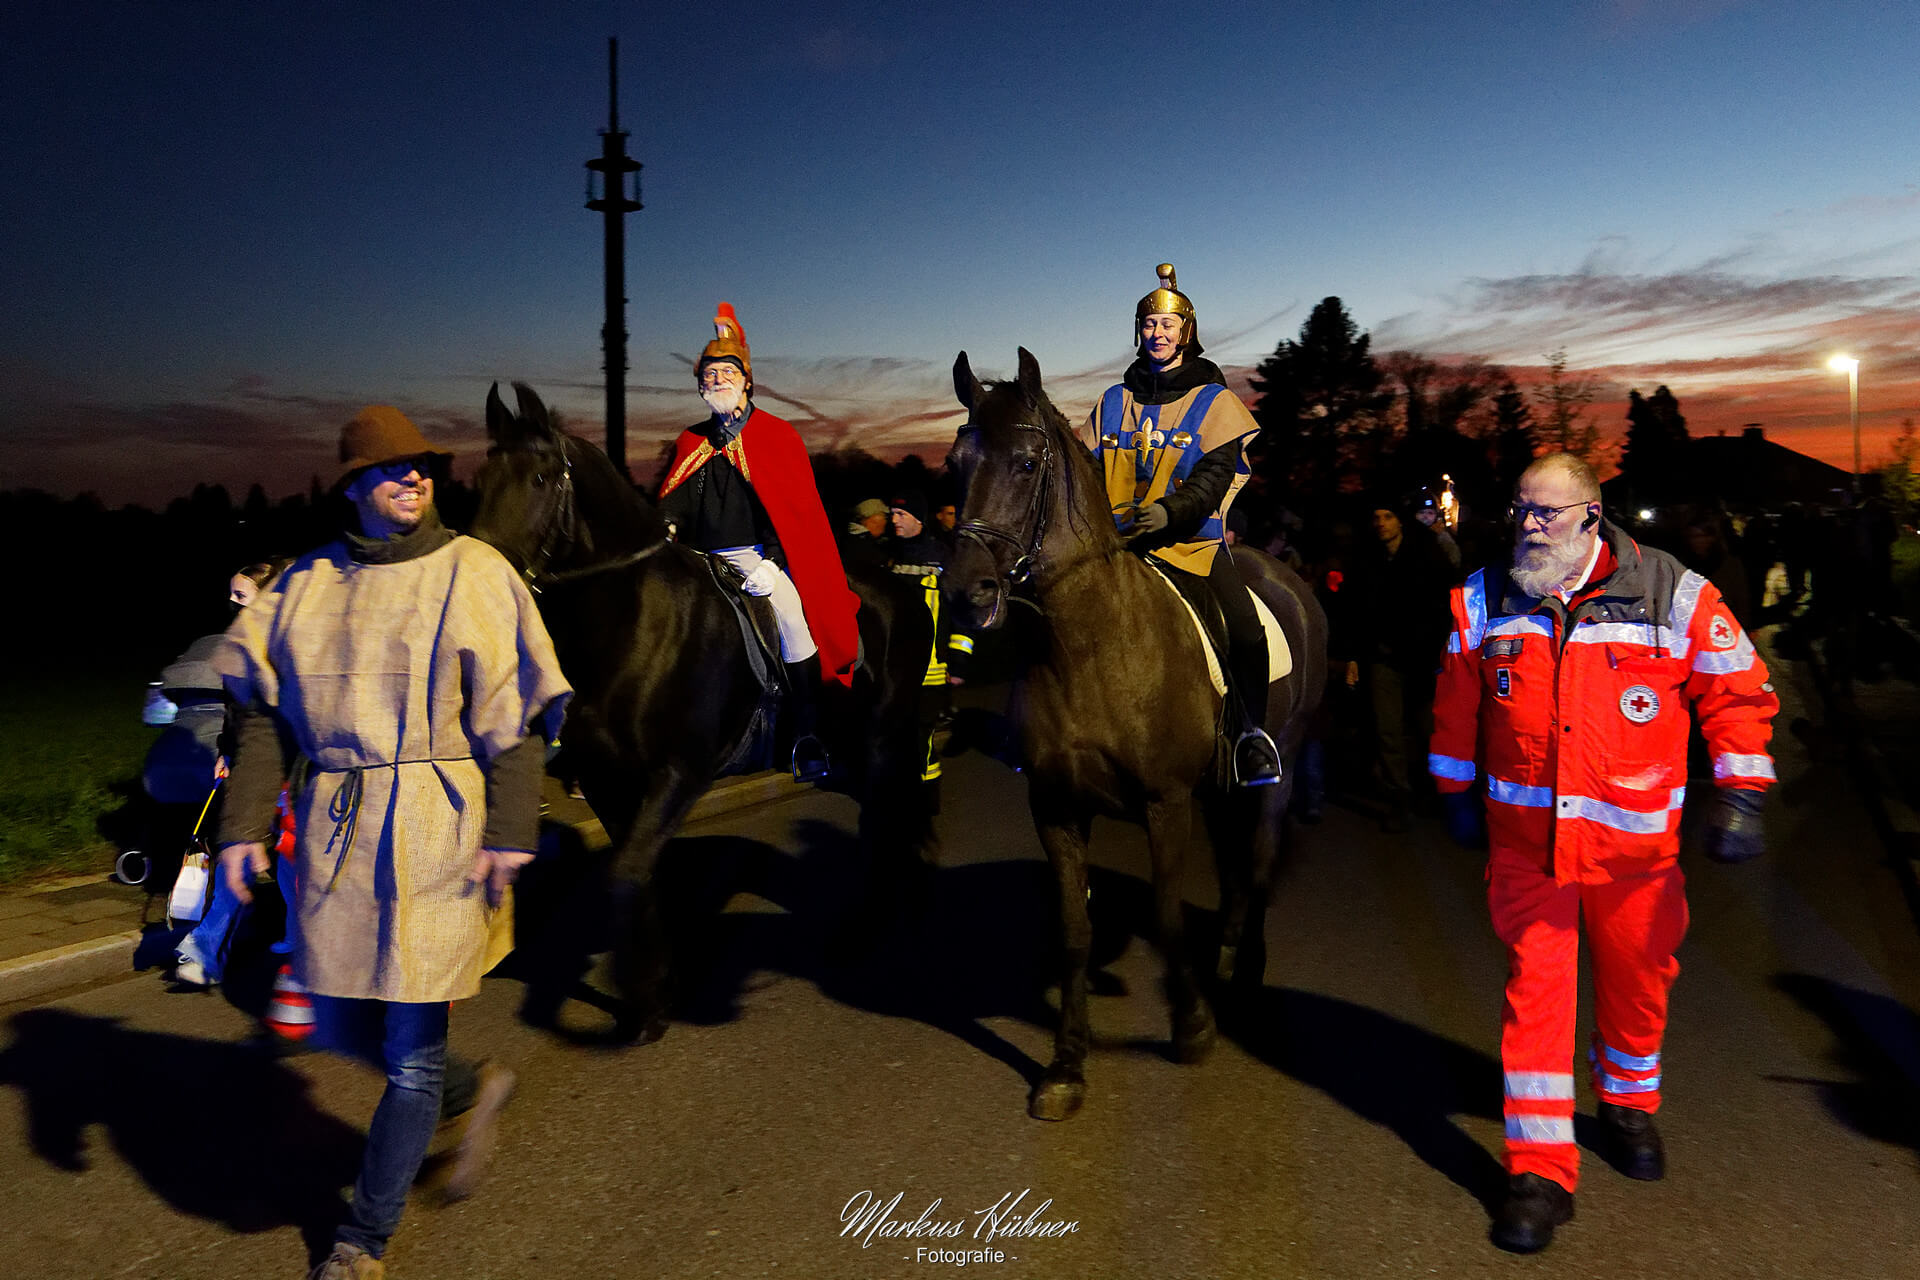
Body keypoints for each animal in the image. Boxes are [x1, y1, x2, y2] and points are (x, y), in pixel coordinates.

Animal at [472, 379, 936, 1043]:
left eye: (538, 478)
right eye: (481, 478)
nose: (483, 586)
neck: (632, 623)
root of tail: (902, 588)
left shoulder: (678, 774)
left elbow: (627, 874)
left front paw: (645, 997)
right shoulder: (610, 780)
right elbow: (638, 874)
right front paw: (658, 991)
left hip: (880, 739)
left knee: (883, 817)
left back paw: (864, 929)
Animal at [948, 345, 1336, 1113]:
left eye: (1027, 464)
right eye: (955, 461)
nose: (965, 591)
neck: (1091, 646)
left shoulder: (1165, 802)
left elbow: (1164, 914)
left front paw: (1192, 1028)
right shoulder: (1056, 806)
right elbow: (1074, 929)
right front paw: (1066, 1066)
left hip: (1271, 773)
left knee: (1257, 861)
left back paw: (1245, 972)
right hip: (1218, 791)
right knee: (1236, 871)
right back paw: (1227, 953)